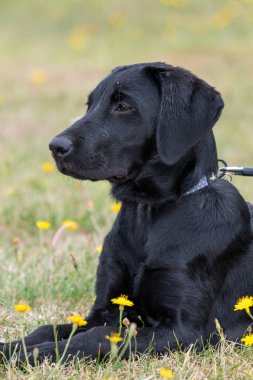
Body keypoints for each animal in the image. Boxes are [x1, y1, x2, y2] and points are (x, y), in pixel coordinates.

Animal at [0, 63, 253, 366]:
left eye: (123, 105)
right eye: (90, 104)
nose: (55, 147)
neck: (148, 212)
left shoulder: (184, 331)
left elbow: (94, 337)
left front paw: (36, 354)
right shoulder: (105, 310)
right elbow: (49, 329)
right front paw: (11, 347)